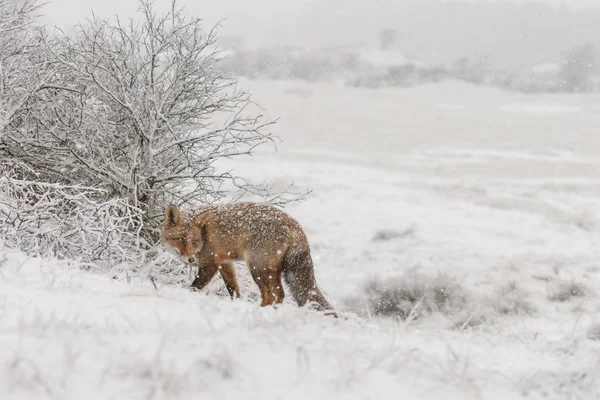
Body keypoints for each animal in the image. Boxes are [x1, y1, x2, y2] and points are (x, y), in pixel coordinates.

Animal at [159, 203, 336, 312]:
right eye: (181, 240)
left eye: (194, 241)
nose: (190, 260)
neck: (204, 236)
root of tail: (297, 227)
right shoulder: (225, 263)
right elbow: (233, 289)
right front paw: (236, 303)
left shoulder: (210, 264)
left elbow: (194, 286)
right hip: (268, 271)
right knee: (278, 294)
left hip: (258, 268)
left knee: (273, 295)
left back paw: (261, 310)